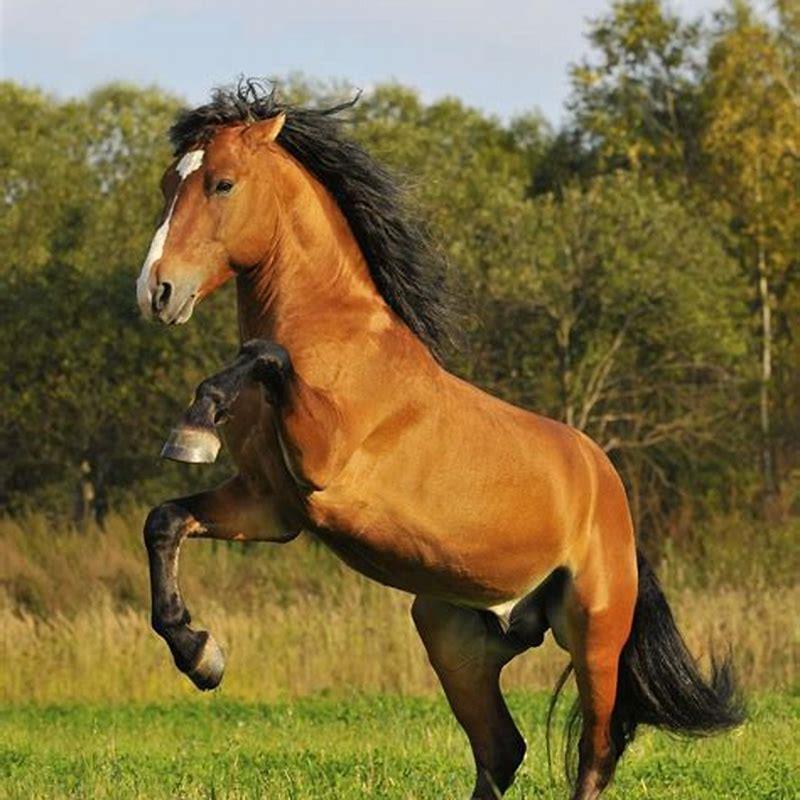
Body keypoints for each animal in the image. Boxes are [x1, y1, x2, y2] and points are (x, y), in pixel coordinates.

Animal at [137, 81, 742, 800]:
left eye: (222, 183)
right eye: (169, 182)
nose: (156, 291)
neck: (335, 334)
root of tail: (612, 494)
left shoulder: (322, 463)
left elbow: (264, 355)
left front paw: (195, 425)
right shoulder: (271, 506)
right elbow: (163, 520)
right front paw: (200, 655)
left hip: (594, 632)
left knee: (593, 753)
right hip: (453, 632)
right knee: (502, 750)